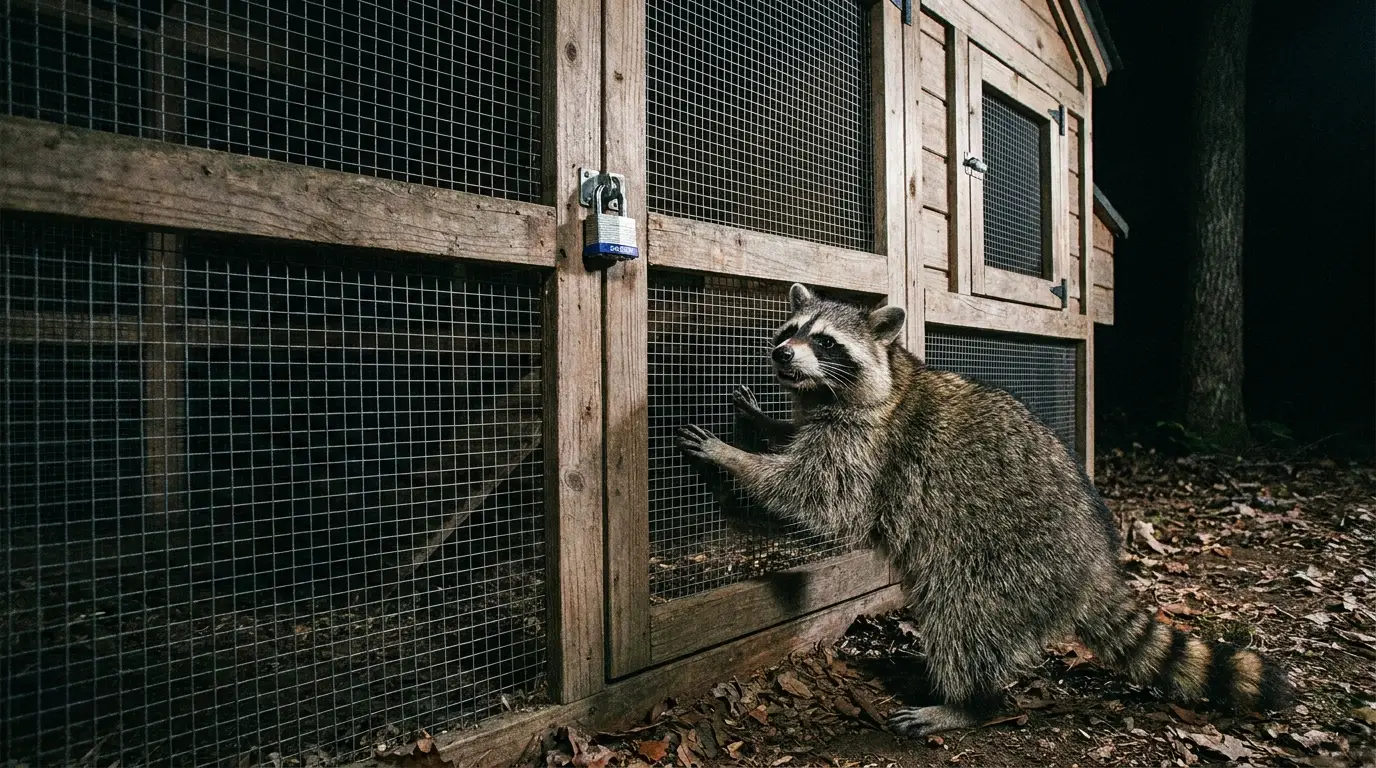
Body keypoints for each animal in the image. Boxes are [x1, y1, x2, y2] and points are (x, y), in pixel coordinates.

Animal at [676, 283, 1292, 738]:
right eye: (789, 332)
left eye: (825, 343)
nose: (780, 353)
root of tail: (1096, 564)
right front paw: (770, 425)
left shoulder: (870, 445)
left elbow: (820, 498)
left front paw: (737, 459)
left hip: (1006, 566)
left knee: (963, 618)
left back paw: (968, 703)